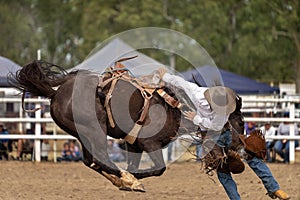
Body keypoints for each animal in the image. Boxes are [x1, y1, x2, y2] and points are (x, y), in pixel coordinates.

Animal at [9, 60, 245, 191]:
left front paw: (131, 177)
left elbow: (135, 163)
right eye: (241, 121)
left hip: (83, 134)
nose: (241, 146)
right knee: (99, 159)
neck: (175, 108)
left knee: (91, 161)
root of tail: (57, 92)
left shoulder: (134, 145)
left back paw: (123, 181)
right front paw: (134, 178)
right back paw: (128, 181)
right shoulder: (149, 143)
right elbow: (159, 169)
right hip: (95, 130)